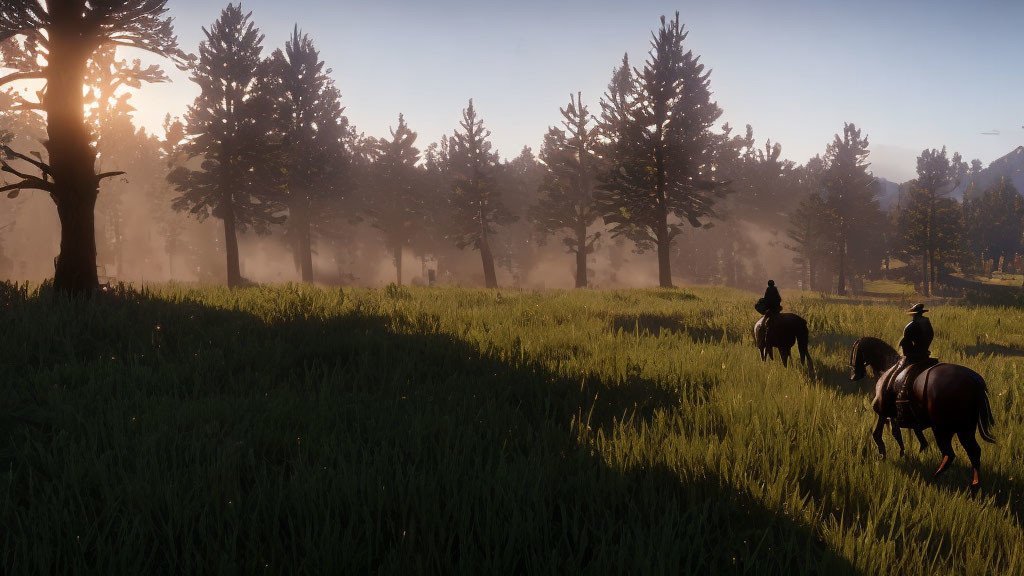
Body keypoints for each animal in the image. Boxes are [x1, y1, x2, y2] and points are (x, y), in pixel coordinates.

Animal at [847, 334, 999, 485]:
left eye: (854, 351)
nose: (853, 376)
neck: (887, 366)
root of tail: (975, 382)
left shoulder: (884, 413)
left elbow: (878, 434)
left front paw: (883, 456)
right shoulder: (904, 418)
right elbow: (908, 436)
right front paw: (906, 453)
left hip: (943, 429)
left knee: (950, 453)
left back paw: (936, 476)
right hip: (965, 429)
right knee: (974, 451)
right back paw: (974, 483)